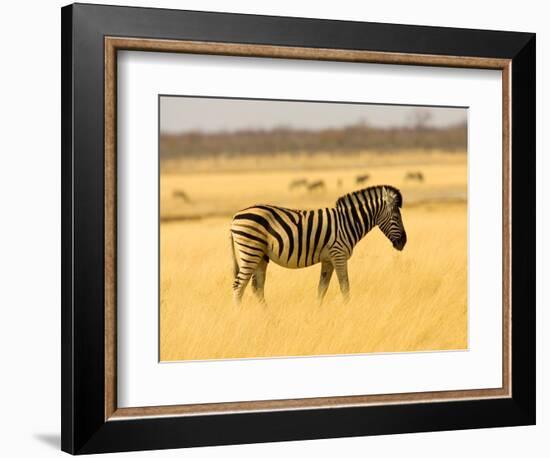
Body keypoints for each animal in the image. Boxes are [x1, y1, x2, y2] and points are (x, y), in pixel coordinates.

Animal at [231, 184, 408, 306]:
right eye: (396, 217)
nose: (404, 242)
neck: (348, 222)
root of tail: (235, 216)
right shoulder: (339, 255)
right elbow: (345, 287)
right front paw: (348, 310)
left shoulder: (328, 259)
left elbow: (322, 289)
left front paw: (318, 312)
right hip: (250, 251)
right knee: (238, 286)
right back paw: (239, 316)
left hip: (260, 255)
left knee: (257, 288)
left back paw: (267, 316)